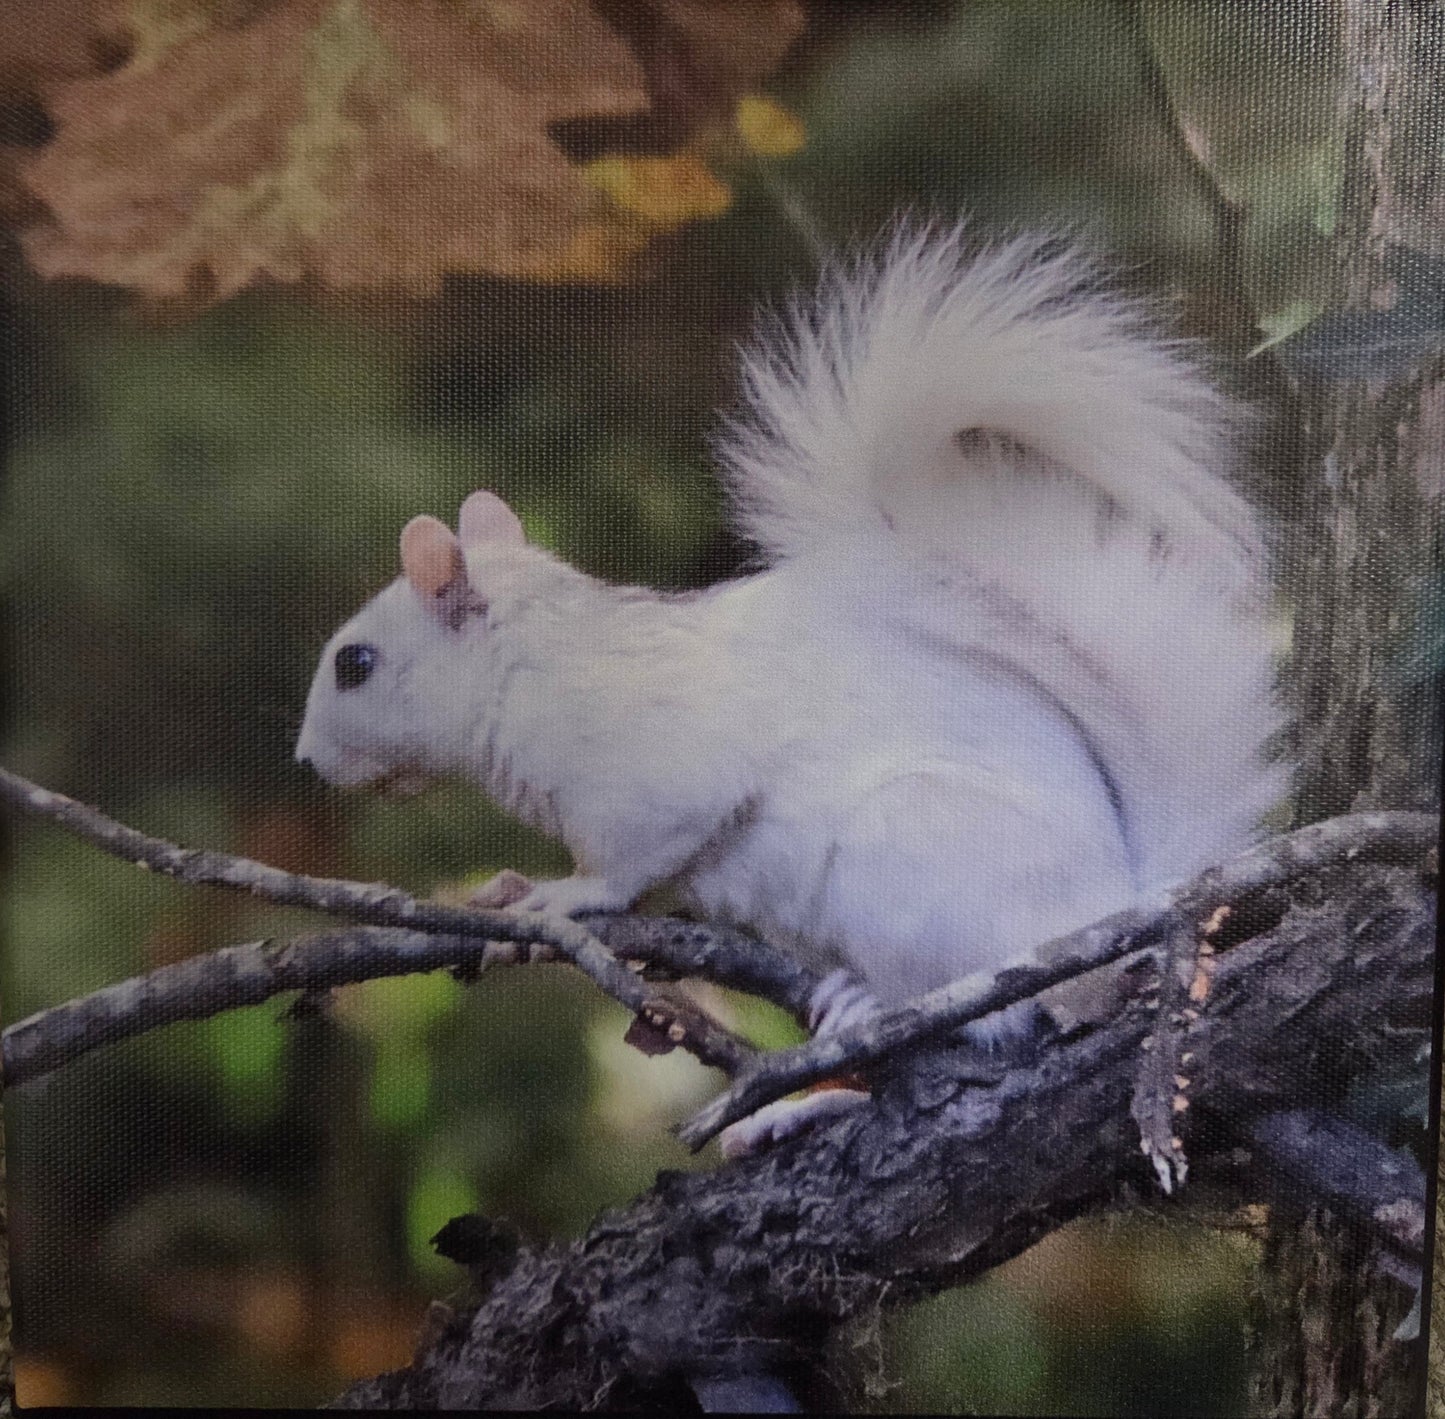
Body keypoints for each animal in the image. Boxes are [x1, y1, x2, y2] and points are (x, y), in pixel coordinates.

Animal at [295, 222, 1288, 1155]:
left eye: (355, 663)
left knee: (992, 1017)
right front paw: (503, 888)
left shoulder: (652, 771)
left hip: (917, 859)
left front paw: (561, 895)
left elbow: (633, 856)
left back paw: (870, 1011)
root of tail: (1116, 899)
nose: (305, 762)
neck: (530, 662)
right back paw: (805, 1095)